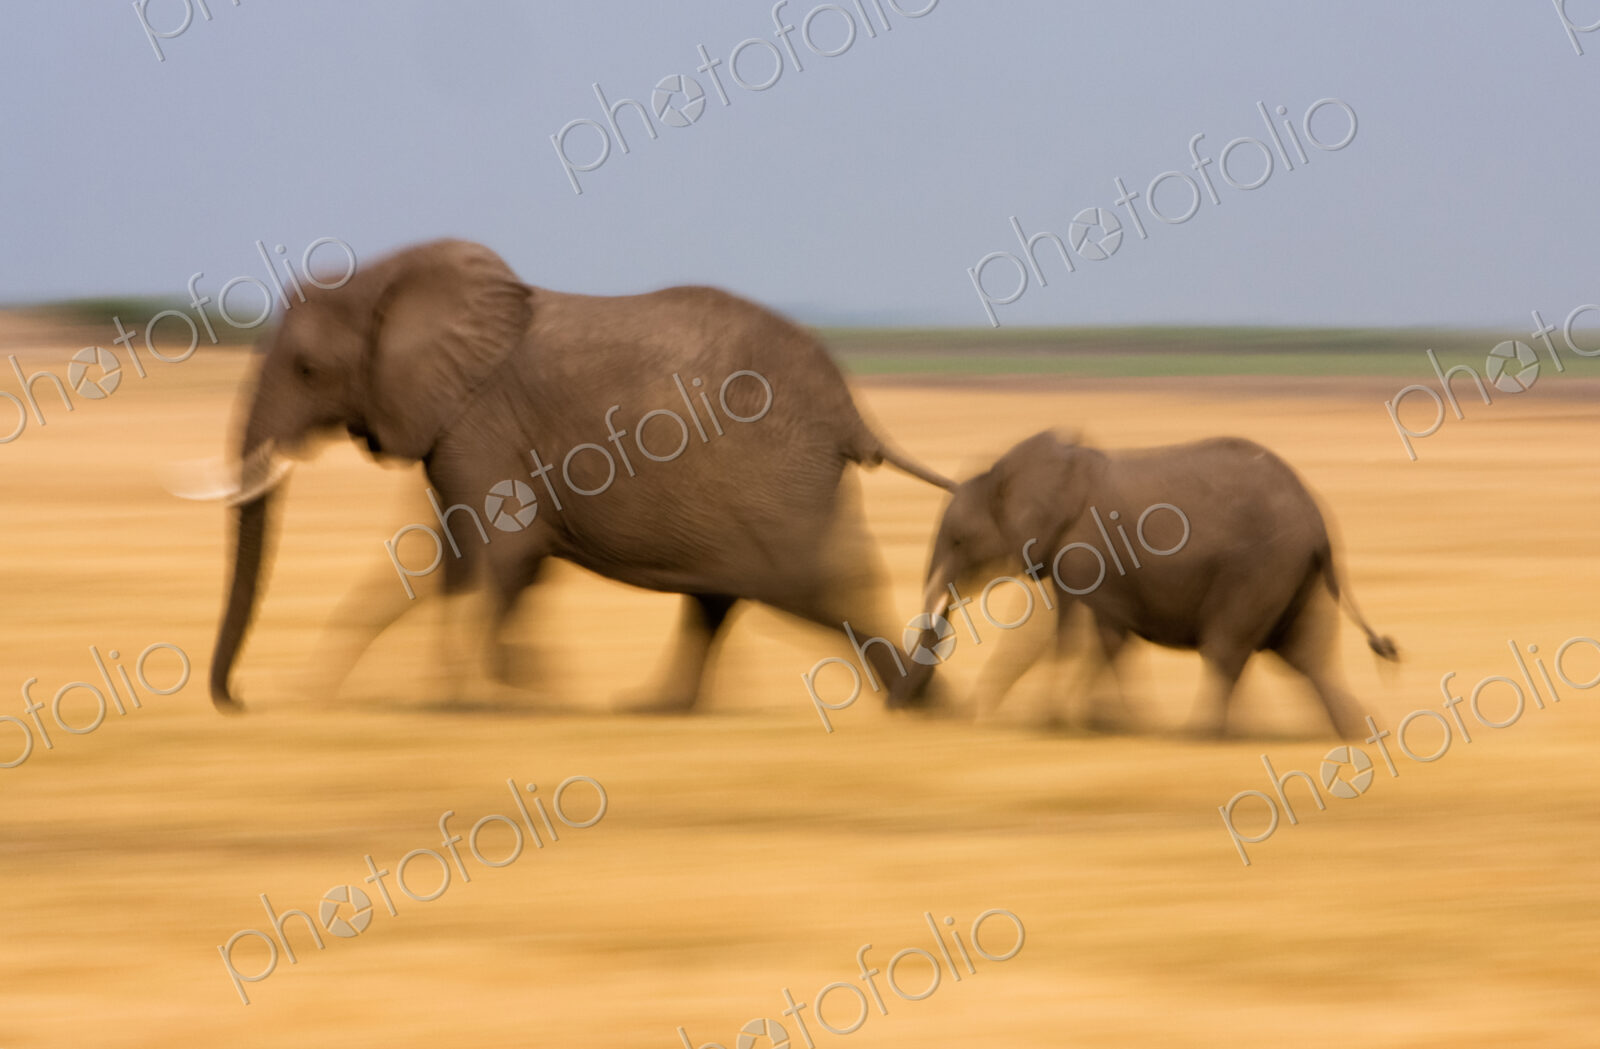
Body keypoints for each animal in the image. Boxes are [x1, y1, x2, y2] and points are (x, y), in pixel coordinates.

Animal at [208, 238, 951, 714]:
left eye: (307, 369)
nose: (238, 699)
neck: (384, 279)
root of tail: (851, 411)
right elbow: (451, 561)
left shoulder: (478, 423)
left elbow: (492, 554)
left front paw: (484, 696)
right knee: (729, 598)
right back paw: (656, 708)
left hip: (777, 479)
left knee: (820, 587)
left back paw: (921, 706)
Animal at [917, 431, 1397, 738]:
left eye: (958, 540)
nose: (965, 714)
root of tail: (1319, 524)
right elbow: (1075, 634)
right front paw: (1089, 722)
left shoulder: (1086, 553)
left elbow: (1093, 635)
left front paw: (1088, 723)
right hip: (1296, 575)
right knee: (1304, 654)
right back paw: (1352, 730)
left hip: (1260, 568)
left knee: (1228, 649)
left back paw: (1203, 733)